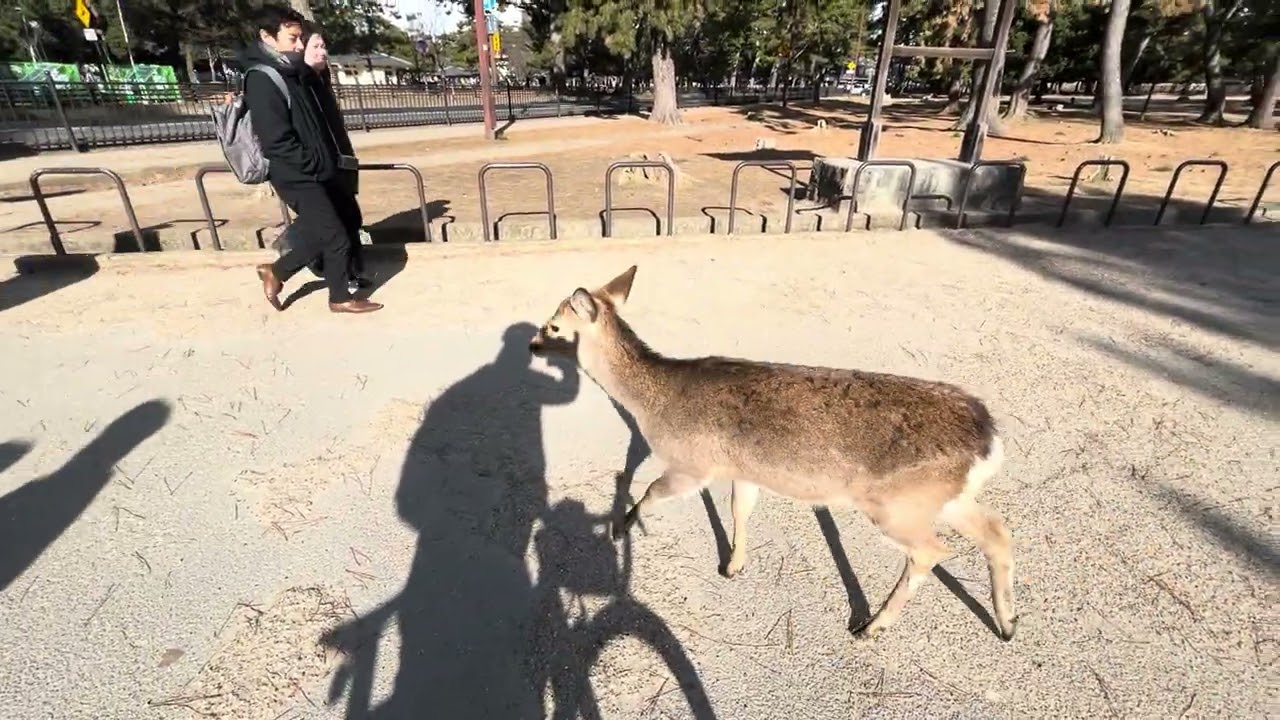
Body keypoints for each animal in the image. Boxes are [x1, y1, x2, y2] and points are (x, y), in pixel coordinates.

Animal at [528, 266, 1019, 641]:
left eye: (554, 325)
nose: (533, 344)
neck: (653, 407)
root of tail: (989, 442)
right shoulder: (744, 470)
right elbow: (740, 509)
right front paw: (733, 566)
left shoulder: (691, 463)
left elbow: (649, 490)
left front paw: (621, 529)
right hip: (943, 497)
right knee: (997, 530)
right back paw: (1008, 623)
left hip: (895, 503)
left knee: (932, 551)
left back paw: (870, 626)